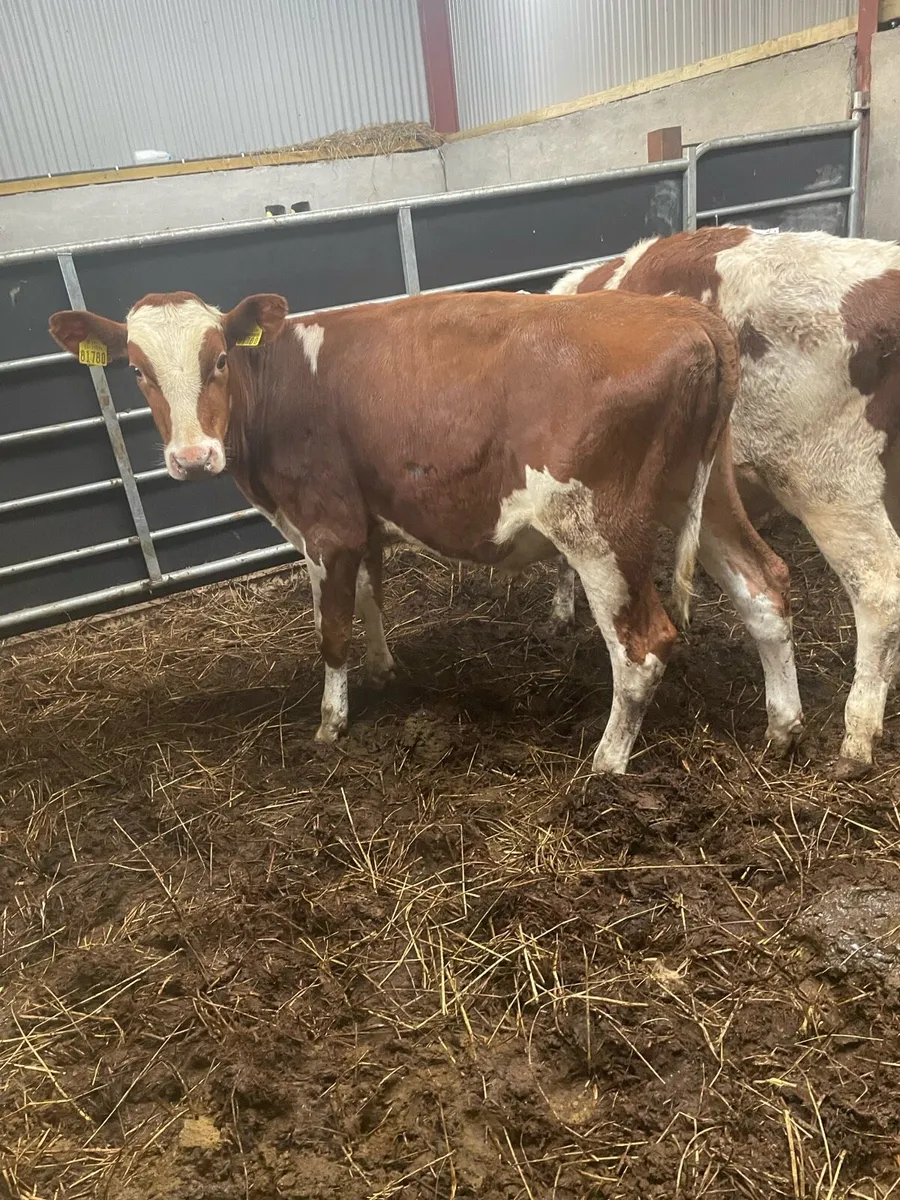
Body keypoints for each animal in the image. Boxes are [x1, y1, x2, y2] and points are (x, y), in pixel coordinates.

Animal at [48, 287, 802, 775]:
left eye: (219, 360)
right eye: (136, 370)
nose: (192, 457)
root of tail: (685, 315)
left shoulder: (326, 526)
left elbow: (330, 632)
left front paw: (330, 724)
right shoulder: (365, 518)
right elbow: (373, 595)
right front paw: (384, 669)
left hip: (597, 528)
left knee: (643, 647)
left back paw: (607, 764)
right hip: (706, 493)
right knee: (765, 589)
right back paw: (784, 727)